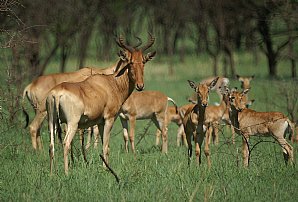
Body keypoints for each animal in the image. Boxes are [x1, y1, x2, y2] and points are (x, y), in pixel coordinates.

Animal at [46, 34, 156, 174]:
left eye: (143, 61)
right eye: (130, 62)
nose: (140, 86)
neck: (111, 83)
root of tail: (57, 94)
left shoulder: (100, 122)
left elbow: (105, 145)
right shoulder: (109, 119)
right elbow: (106, 146)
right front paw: (106, 169)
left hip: (52, 122)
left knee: (51, 145)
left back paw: (51, 173)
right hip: (72, 123)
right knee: (66, 144)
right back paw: (66, 173)